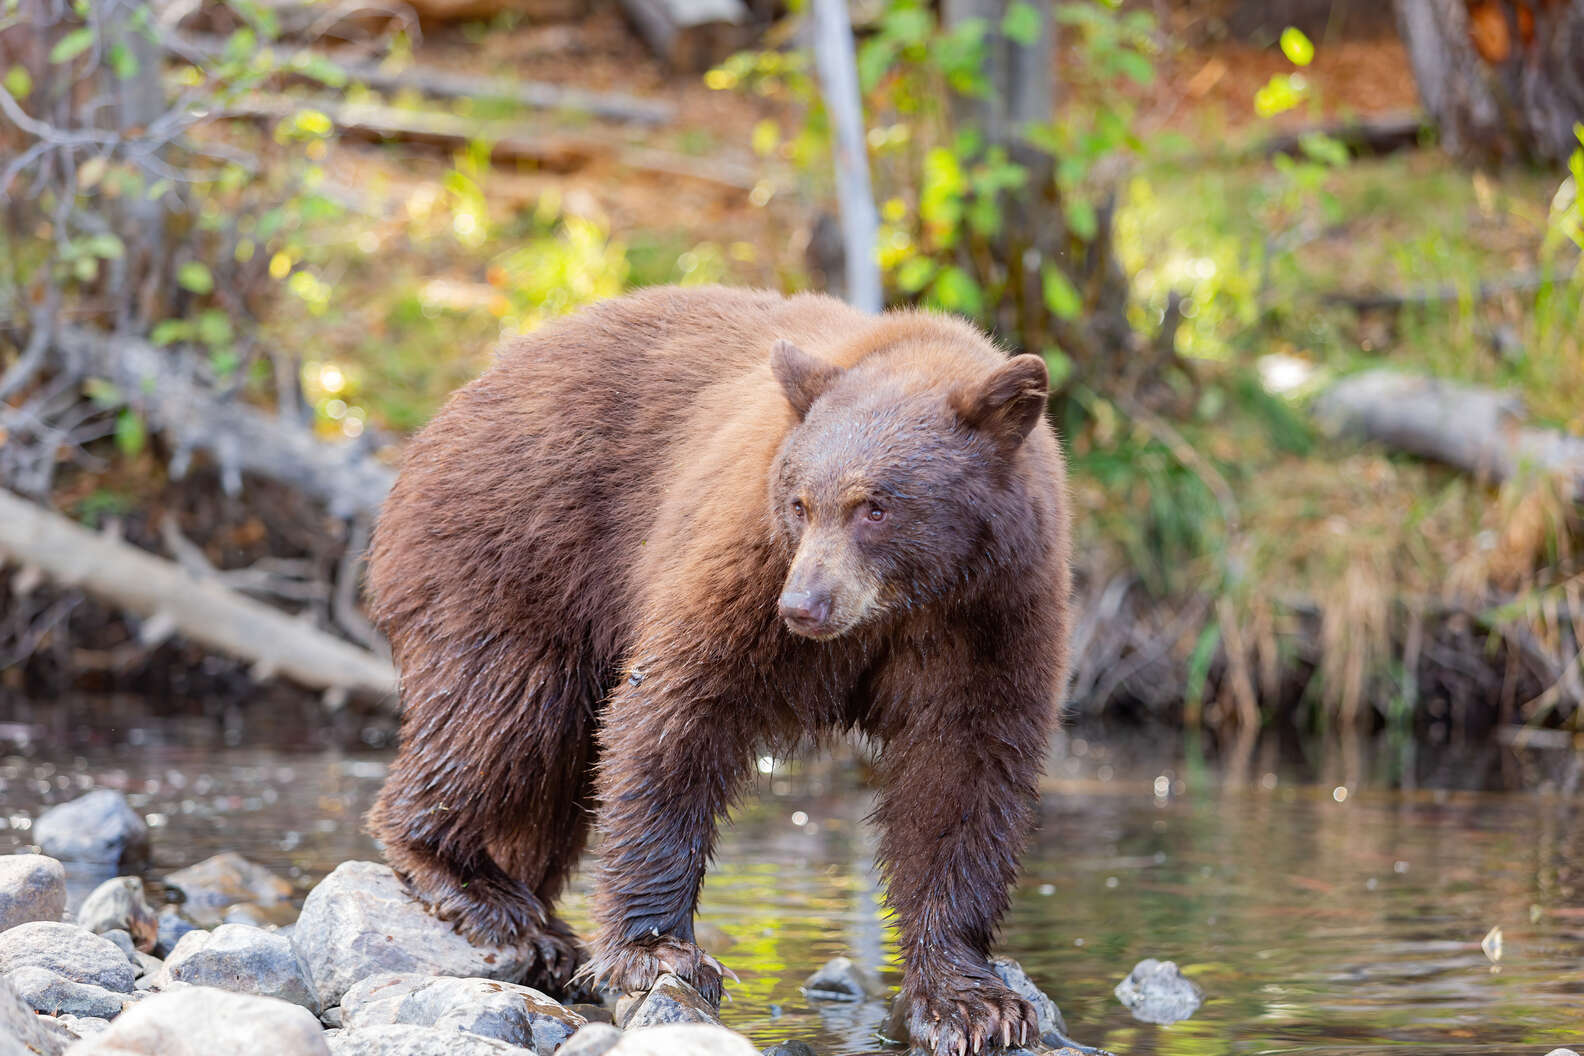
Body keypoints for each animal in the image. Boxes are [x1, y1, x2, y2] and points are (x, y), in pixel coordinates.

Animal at [364, 283, 1070, 1056]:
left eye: (876, 506)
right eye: (800, 503)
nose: (804, 605)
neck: (904, 607)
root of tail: (447, 411)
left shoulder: (993, 616)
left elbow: (964, 775)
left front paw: (970, 1002)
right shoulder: (744, 562)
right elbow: (677, 710)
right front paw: (659, 953)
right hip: (518, 551)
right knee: (501, 715)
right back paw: (478, 887)